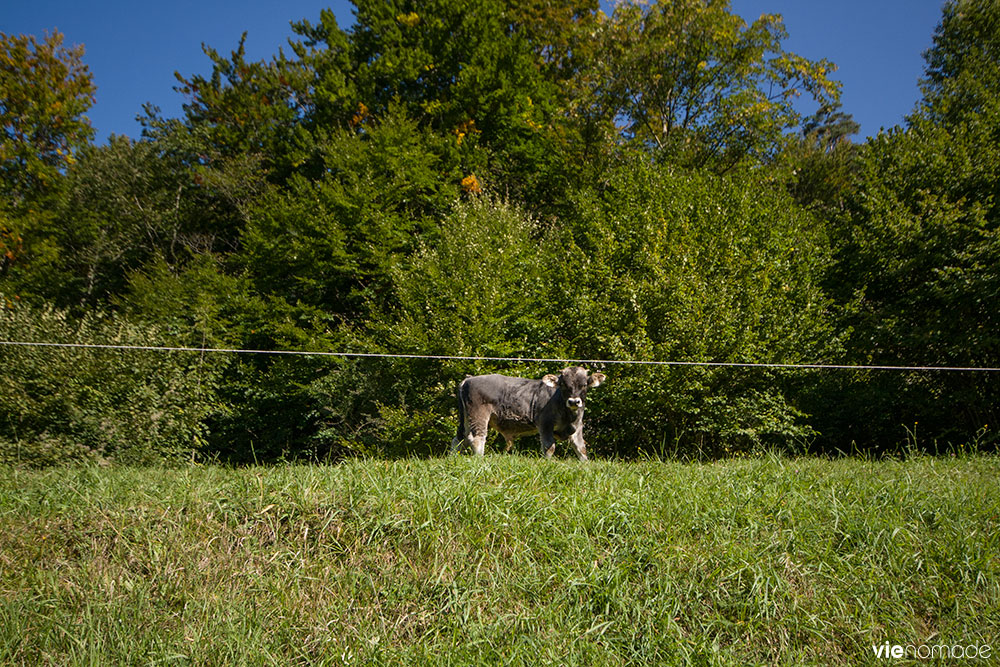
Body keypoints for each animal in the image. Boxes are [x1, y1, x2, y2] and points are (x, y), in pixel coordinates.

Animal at [450, 368, 604, 462]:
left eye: (584, 385)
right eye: (563, 384)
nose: (574, 401)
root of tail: (469, 379)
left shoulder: (577, 427)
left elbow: (581, 449)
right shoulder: (545, 424)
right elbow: (549, 447)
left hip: (466, 419)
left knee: (459, 439)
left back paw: (453, 458)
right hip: (478, 415)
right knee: (476, 438)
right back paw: (480, 460)